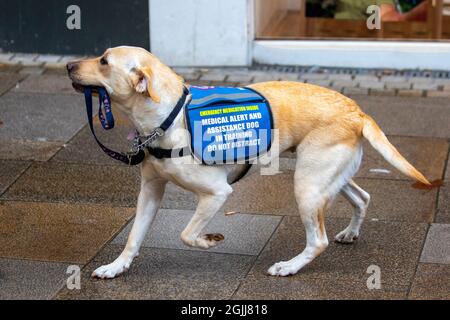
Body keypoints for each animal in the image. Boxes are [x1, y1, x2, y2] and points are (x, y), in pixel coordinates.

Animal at [67, 46, 428, 278]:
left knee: (318, 240)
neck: (170, 117)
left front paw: (208, 240)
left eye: (103, 61)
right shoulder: (150, 192)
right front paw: (117, 266)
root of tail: (357, 111)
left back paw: (289, 266)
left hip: (307, 187)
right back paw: (351, 233)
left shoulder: (216, 194)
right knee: (362, 197)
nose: (69, 65)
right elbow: (133, 237)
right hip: (325, 178)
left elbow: (187, 233)